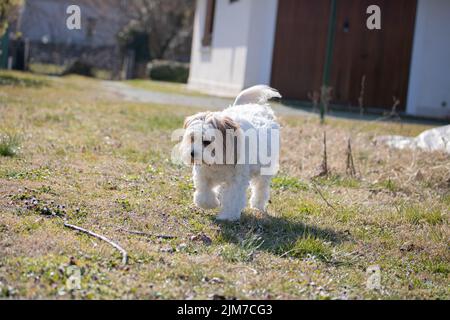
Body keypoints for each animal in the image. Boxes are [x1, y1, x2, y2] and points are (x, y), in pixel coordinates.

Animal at [180, 84, 282, 222]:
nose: (192, 153)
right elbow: (204, 192)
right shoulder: (203, 174)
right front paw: (210, 203)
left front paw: (227, 216)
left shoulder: (237, 180)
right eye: (192, 138)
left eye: (206, 141)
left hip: (264, 170)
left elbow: (232, 198)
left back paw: (257, 205)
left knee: (261, 188)